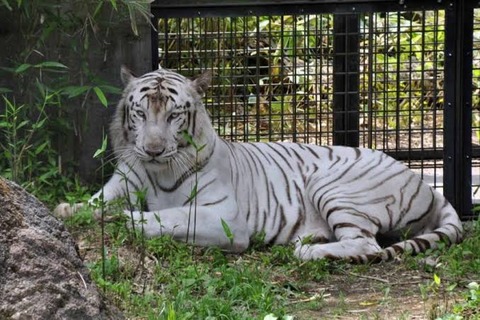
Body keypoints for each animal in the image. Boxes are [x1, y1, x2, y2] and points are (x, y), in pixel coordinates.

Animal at [54, 66, 464, 262]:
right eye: (140, 113)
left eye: (173, 116)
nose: (153, 150)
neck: (155, 171)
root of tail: (427, 183)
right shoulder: (119, 185)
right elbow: (82, 207)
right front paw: (68, 209)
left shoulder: (224, 217)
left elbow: (163, 218)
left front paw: (125, 219)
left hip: (334, 185)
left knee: (368, 245)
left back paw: (307, 251)